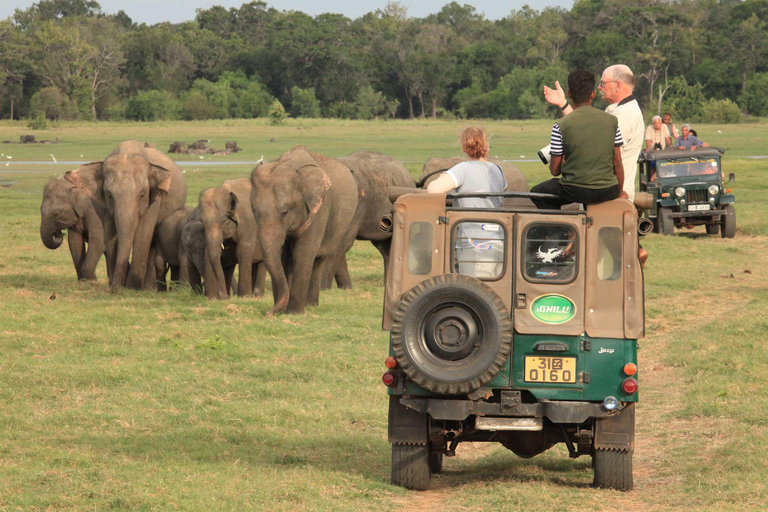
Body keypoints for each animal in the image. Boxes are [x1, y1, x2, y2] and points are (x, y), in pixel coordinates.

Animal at [100, 142, 188, 290]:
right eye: (109, 195)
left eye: (142, 195)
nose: (116, 289)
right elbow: (110, 234)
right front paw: (114, 287)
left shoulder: (154, 199)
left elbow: (143, 231)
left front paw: (132, 288)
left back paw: (149, 289)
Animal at [252, 145, 360, 316]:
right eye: (254, 211)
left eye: (285, 212)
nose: (269, 313)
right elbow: (283, 256)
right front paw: (282, 310)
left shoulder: (320, 209)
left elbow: (303, 253)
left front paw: (293, 313)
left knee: (318, 260)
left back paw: (311, 305)